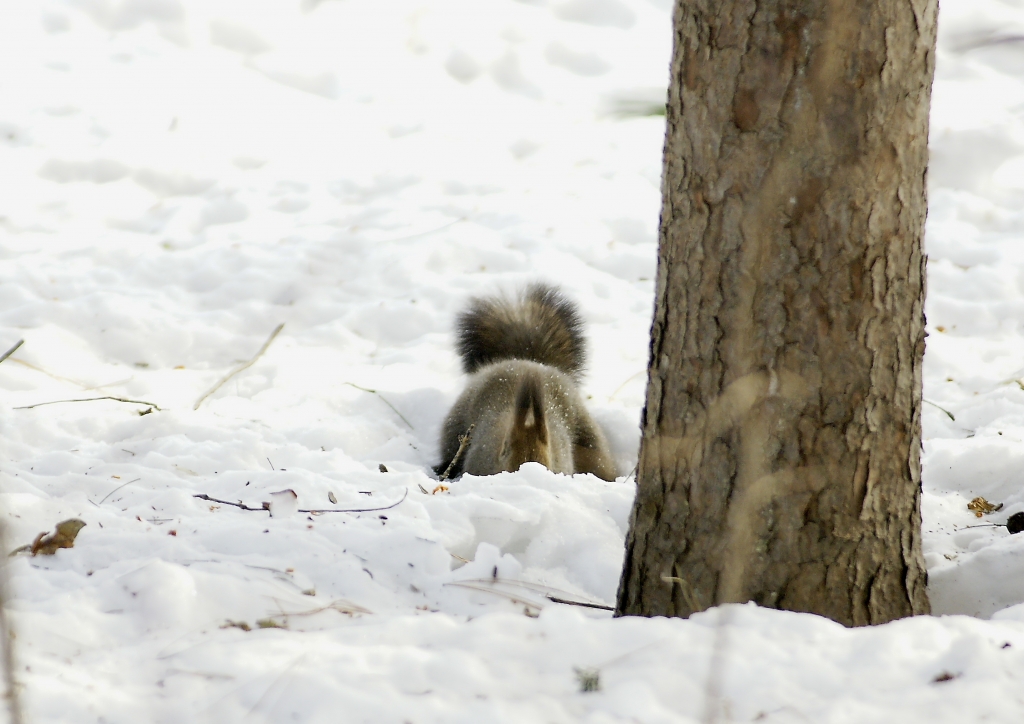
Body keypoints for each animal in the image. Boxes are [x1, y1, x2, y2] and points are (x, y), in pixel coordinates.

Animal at [434, 282, 614, 481]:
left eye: (551, 462)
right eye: (505, 453)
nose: (530, 477)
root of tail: (527, 359)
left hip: (588, 434)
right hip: (456, 424)